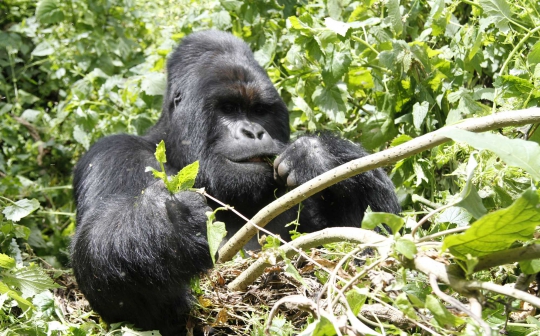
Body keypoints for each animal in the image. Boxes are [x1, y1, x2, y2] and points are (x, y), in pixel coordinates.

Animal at [70, 30, 400, 334]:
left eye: (259, 111)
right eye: (228, 108)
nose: (253, 132)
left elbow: (369, 246)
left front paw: (318, 155)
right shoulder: (112, 154)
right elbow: (110, 283)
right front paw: (167, 222)